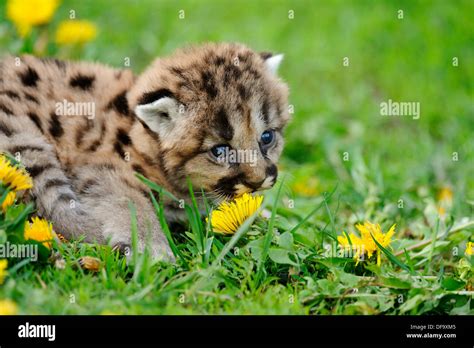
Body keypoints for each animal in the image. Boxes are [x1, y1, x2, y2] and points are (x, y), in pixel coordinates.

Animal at [0, 42, 288, 260]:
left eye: (267, 137)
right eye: (219, 151)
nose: (260, 180)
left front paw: (267, 223)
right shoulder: (98, 167)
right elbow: (132, 202)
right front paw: (153, 250)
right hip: (22, 141)